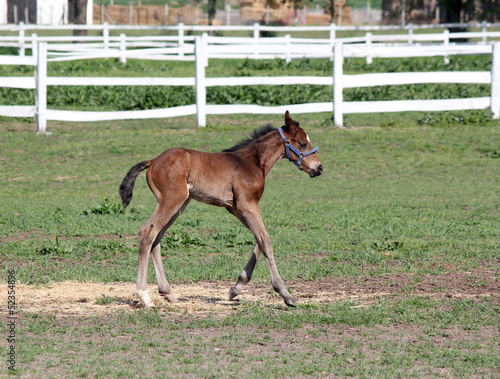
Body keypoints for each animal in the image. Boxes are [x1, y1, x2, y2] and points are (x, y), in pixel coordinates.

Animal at [121, 111, 324, 308]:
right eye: (303, 143)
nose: (319, 168)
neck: (252, 162)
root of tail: (153, 160)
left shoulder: (235, 208)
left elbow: (259, 239)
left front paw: (236, 288)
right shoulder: (248, 204)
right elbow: (265, 242)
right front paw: (286, 294)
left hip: (179, 205)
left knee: (157, 237)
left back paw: (168, 293)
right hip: (171, 200)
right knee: (146, 232)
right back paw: (144, 297)